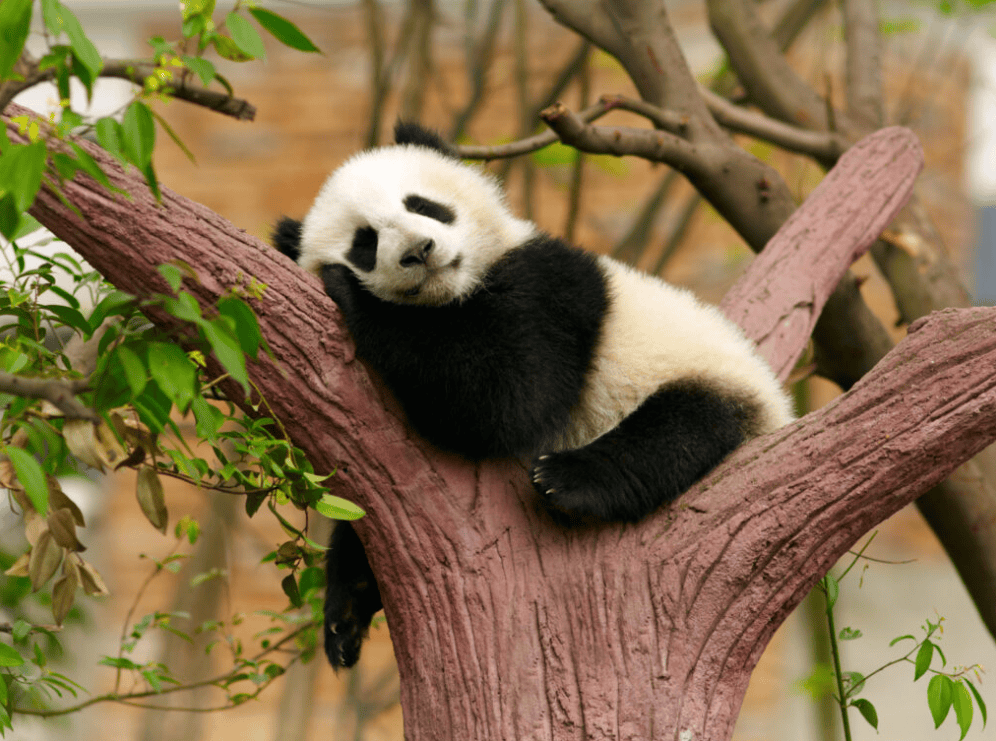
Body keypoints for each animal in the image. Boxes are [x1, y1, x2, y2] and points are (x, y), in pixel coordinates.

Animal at [273, 122, 794, 668]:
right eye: (365, 242)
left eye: (423, 205)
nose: (419, 249)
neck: (454, 293)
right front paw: (346, 609)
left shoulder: (551, 286)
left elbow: (507, 398)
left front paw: (352, 294)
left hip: (709, 375)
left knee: (683, 427)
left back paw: (569, 480)